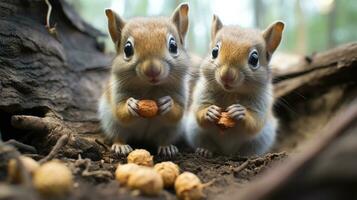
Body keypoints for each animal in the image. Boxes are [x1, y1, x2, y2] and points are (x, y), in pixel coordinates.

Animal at [98, 2, 189, 157]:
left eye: (173, 46)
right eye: (127, 49)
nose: (152, 70)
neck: (150, 88)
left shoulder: (180, 94)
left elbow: (177, 112)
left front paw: (167, 103)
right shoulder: (118, 93)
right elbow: (120, 112)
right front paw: (130, 105)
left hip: (171, 130)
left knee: (163, 139)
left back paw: (167, 147)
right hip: (112, 124)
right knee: (119, 135)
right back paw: (120, 146)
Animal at [184, 15, 284, 156]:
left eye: (254, 59)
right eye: (214, 51)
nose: (226, 76)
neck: (230, 93)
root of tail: (227, 152)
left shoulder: (261, 103)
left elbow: (255, 123)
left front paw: (239, 112)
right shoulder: (201, 93)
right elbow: (199, 111)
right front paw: (210, 111)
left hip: (263, 138)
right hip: (194, 130)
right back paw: (205, 150)